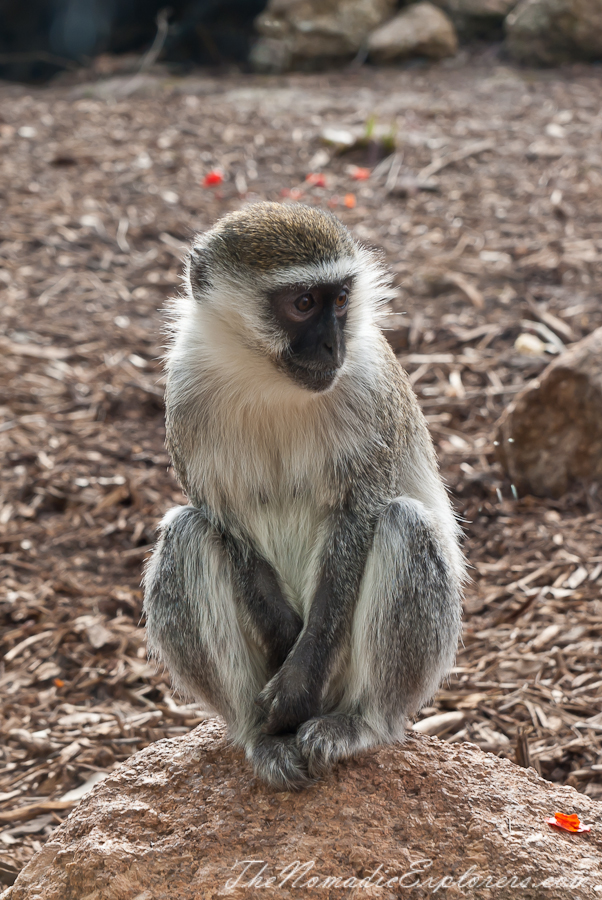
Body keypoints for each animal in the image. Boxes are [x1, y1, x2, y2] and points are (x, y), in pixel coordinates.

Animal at [143, 199, 462, 788]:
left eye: (339, 300)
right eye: (303, 302)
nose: (333, 344)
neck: (267, 378)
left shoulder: (367, 388)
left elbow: (358, 517)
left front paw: (297, 680)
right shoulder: (184, 390)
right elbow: (226, 525)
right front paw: (283, 648)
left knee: (404, 523)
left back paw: (359, 725)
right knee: (186, 533)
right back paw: (261, 738)